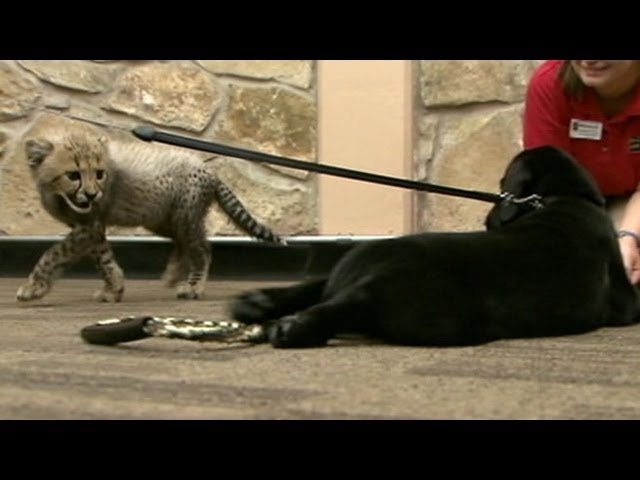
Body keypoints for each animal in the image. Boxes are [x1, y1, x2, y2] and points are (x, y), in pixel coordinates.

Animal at [16, 131, 285, 302]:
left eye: (99, 173)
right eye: (73, 175)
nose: (92, 194)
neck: (59, 195)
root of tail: (208, 169)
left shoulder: (87, 226)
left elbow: (52, 254)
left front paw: (32, 288)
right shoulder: (91, 227)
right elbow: (103, 259)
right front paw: (114, 289)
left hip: (183, 218)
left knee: (202, 249)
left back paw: (192, 286)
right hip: (159, 218)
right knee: (184, 244)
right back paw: (173, 273)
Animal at [231, 146, 640, 348]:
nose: (489, 218)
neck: (563, 197)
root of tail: (371, 269)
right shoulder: (627, 302)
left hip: (348, 269)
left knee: (319, 286)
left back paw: (261, 303)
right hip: (445, 316)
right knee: (349, 305)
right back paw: (297, 328)